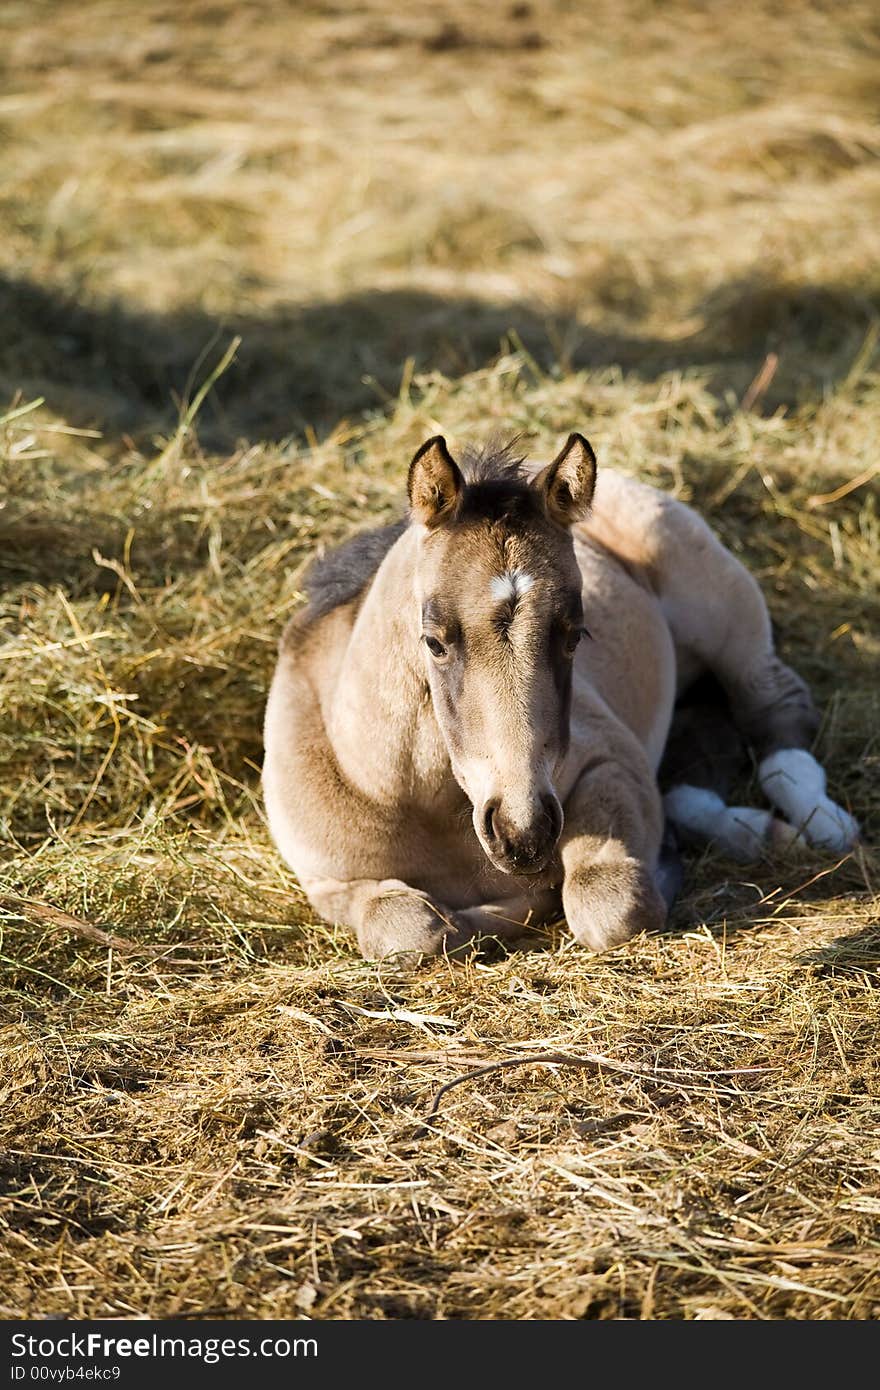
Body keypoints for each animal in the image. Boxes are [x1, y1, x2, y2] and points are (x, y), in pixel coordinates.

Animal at [262, 433, 856, 956]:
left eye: (576, 635)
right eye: (433, 641)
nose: (522, 832)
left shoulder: (609, 763)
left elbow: (606, 905)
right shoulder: (329, 884)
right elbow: (414, 932)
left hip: (726, 617)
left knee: (776, 709)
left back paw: (820, 824)